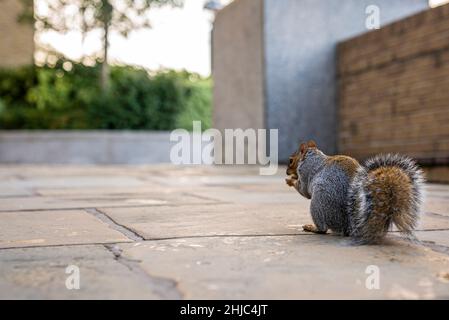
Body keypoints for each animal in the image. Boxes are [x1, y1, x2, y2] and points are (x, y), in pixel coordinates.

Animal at [286, 141, 422, 244]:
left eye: (291, 161)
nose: (287, 172)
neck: (312, 155)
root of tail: (349, 226)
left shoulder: (305, 173)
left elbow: (304, 191)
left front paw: (290, 180)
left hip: (318, 202)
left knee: (322, 229)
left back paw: (312, 227)